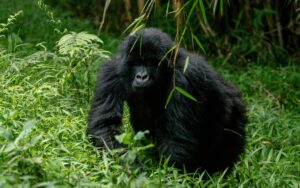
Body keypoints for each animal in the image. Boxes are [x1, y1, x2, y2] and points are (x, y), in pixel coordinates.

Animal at [86, 27, 246, 173]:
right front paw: (132, 165)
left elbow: (177, 140)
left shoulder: (187, 77)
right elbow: (105, 126)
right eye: (137, 63)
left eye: (151, 63)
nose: (142, 77)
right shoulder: (111, 72)